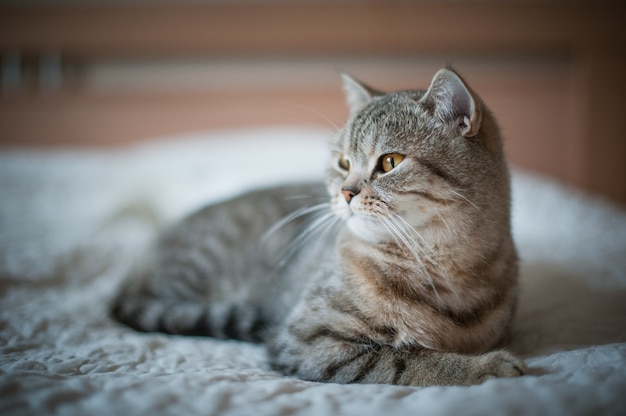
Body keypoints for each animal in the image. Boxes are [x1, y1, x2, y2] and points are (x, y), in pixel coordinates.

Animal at [111, 66, 520, 386]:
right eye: (343, 162)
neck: (441, 269)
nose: (345, 192)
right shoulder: (312, 341)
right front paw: (482, 368)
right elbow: (409, 360)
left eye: (390, 162)